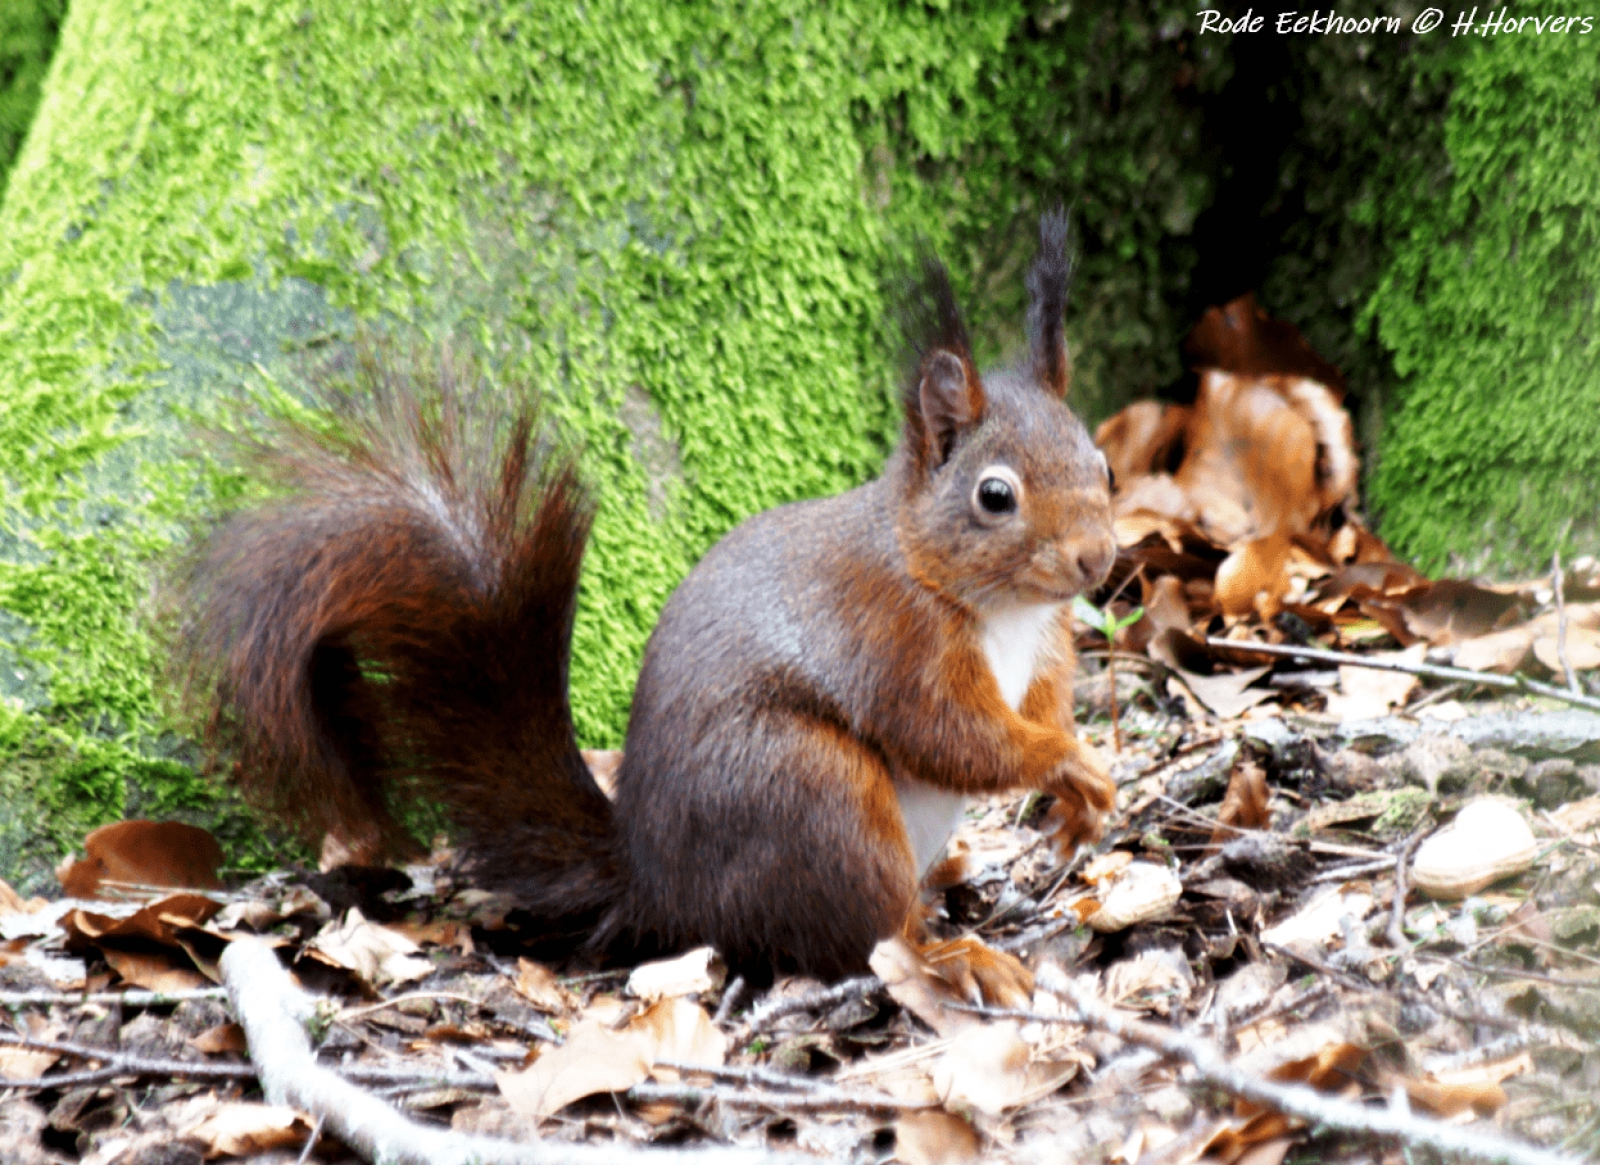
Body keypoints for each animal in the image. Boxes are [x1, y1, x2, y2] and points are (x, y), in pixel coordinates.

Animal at [170, 212, 1117, 981]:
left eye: (1103, 464)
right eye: (995, 495)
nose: (1097, 558)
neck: (992, 603)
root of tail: (659, 889)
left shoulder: (1043, 648)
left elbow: (1034, 709)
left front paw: (1076, 793)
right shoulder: (892, 639)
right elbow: (955, 736)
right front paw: (1067, 763)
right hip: (809, 795)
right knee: (860, 937)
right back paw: (947, 951)